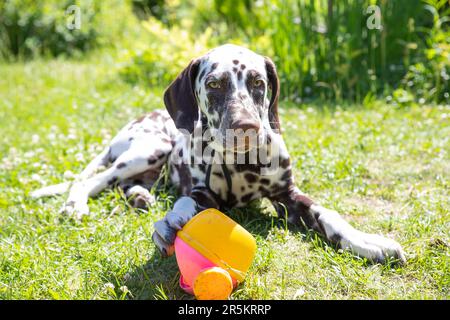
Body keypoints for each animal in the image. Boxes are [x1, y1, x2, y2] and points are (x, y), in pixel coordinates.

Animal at [29, 43, 406, 264]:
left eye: (258, 82)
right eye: (214, 84)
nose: (246, 126)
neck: (241, 164)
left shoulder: (289, 195)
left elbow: (330, 216)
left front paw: (367, 241)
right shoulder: (202, 193)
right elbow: (185, 204)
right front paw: (171, 221)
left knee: (125, 184)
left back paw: (139, 196)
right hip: (149, 148)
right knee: (93, 180)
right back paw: (76, 204)